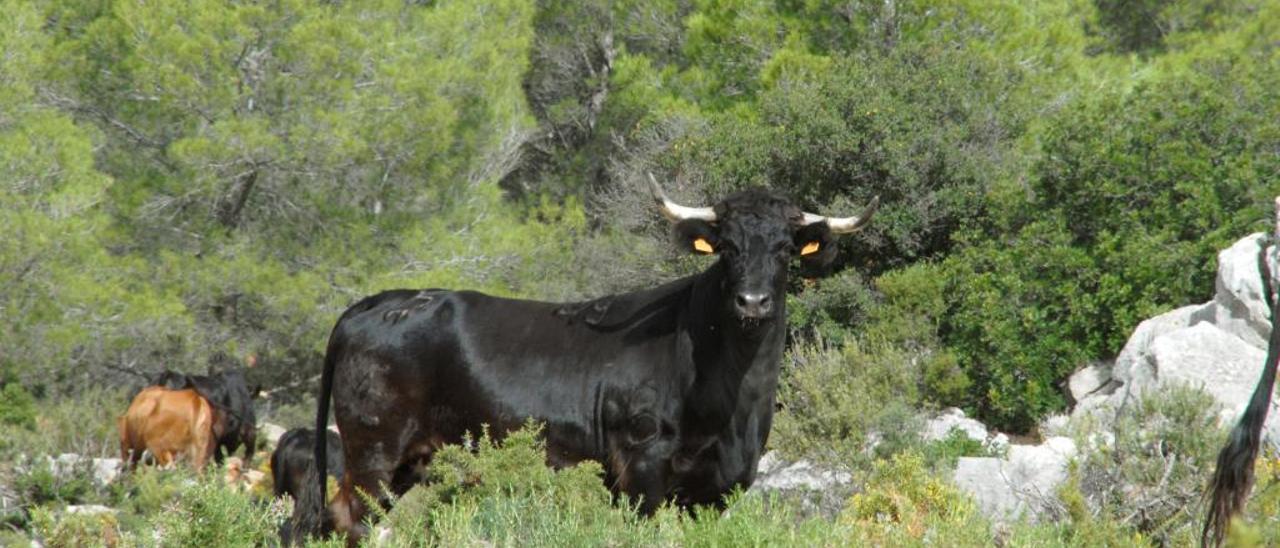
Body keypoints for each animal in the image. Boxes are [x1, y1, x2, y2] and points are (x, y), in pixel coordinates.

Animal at [291, 181, 880, 540]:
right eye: (728, 247)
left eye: (784, 249)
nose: (752, 302)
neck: (733, 398)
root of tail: (380, 301)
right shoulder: (642, 467)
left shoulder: (720, 486)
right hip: (374, 451)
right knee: (354, 520)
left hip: (408, 459)